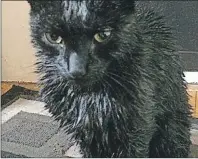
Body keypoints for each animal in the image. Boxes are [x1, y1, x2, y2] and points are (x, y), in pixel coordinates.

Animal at [27, 0, 191, 158]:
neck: (90, 98)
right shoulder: (86, 135)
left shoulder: (136, 131)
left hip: (171, 133)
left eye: (103, 35)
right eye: (54, 37)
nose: (76, 70)